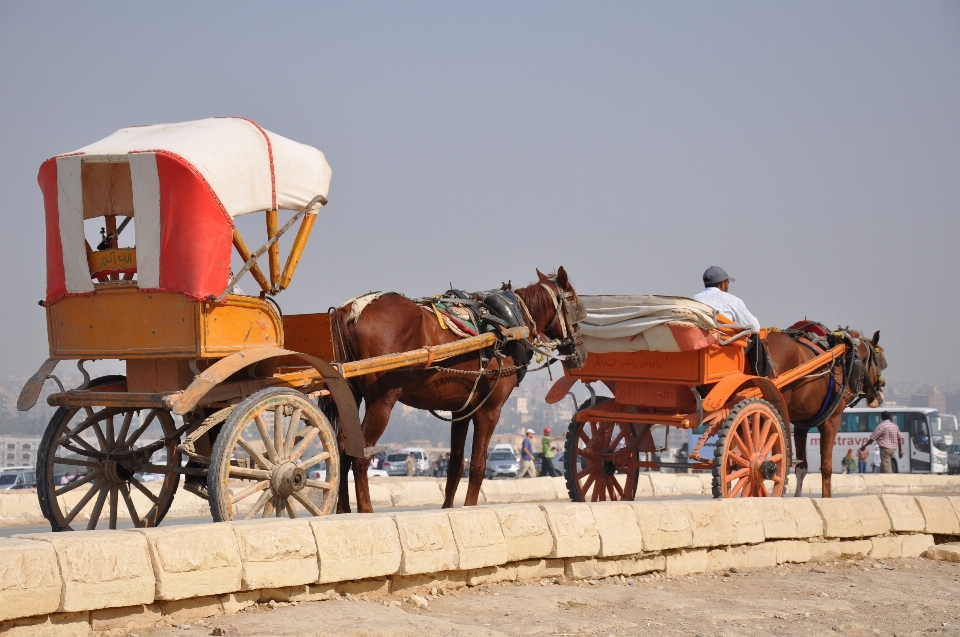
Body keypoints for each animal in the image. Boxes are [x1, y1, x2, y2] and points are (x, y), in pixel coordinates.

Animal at [330, 268, 584, 512]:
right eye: (575, 305)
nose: (580, 354)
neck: (507, 324)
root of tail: (348, 311)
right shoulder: (490, 410)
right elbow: (478, 465)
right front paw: (470, 505)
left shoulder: (460, 410)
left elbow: (456, 463)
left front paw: (447, 507)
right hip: (382, 398)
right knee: (361, 450)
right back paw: (365, 510)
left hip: (350, 394)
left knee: (342, 444)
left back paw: (343, 510)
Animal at [764, 330, 892, 500]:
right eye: (880, 363)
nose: (878, 396)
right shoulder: (832, 421)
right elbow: (826, 466)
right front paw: (826, 498)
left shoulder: (801, 424)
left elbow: (802, 467)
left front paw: (798, 497)